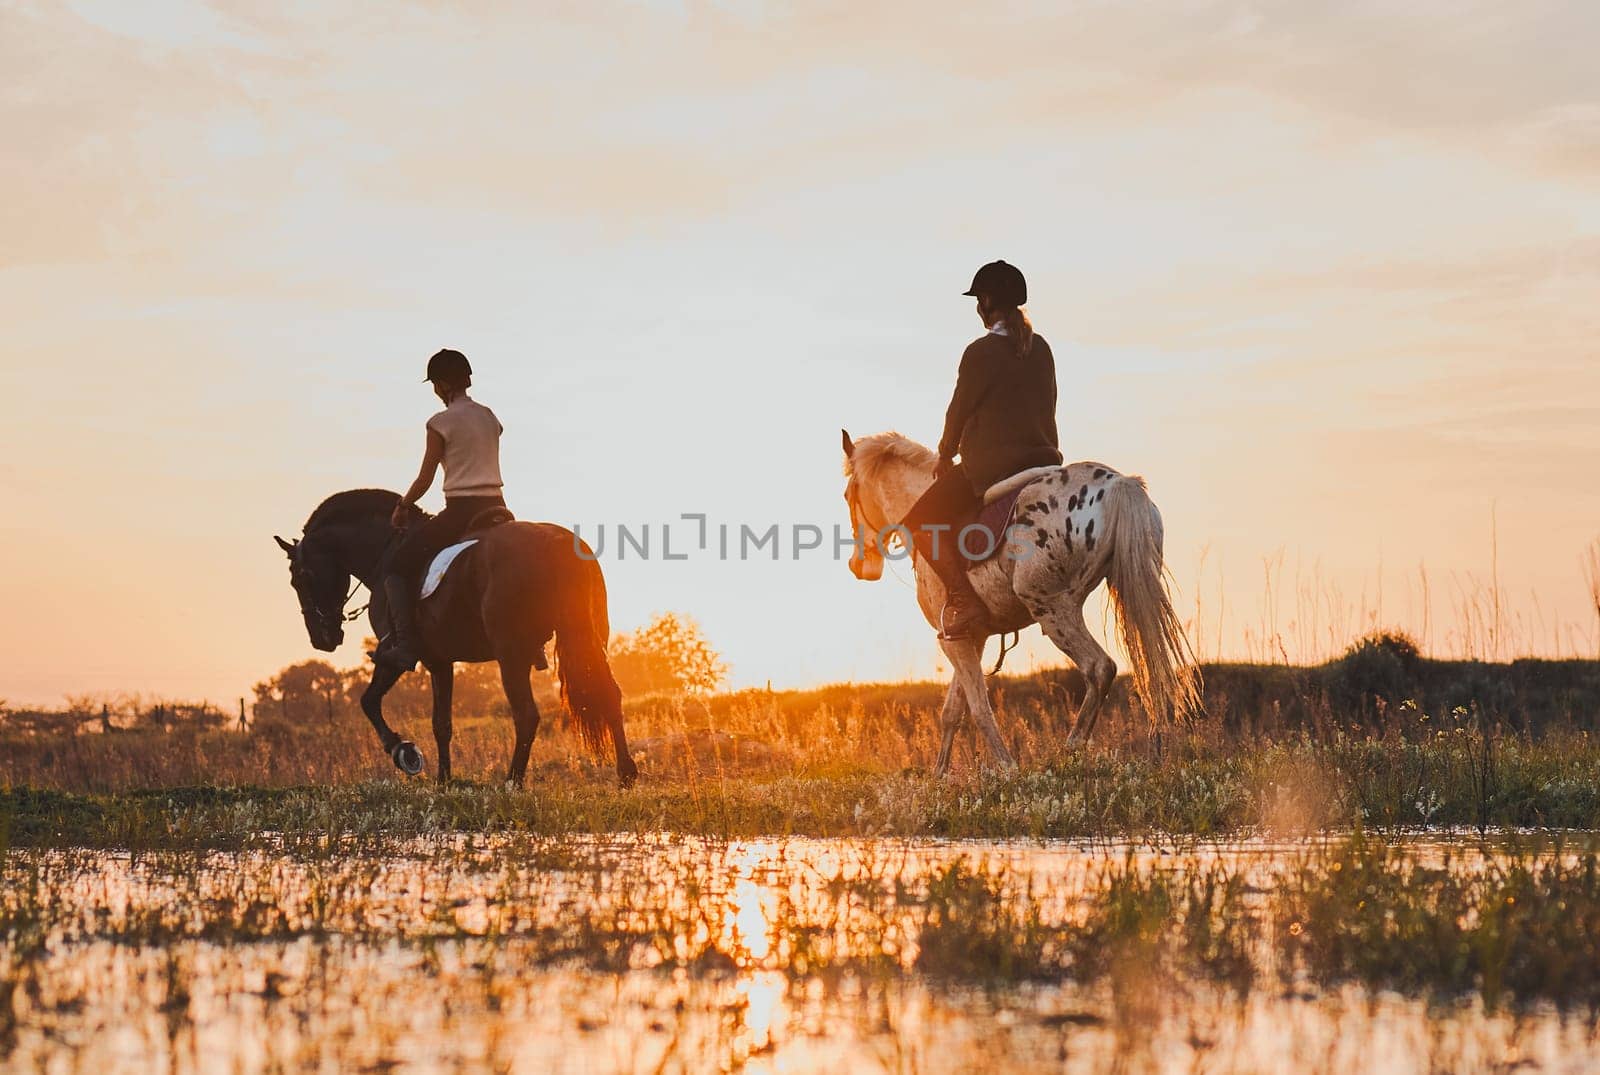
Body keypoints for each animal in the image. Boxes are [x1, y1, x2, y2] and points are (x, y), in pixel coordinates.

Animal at [275, 492, 636, 783]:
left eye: (299, 578)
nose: (322, 638)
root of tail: (555, 542)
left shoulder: (398, 655)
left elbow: (369, 701)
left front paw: (404, 752)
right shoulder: (441, 661)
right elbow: (441, 723)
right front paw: (444, 779)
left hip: (511, 655)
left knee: (526, 714)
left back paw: (513, 781)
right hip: (590, 641)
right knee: (610, 695)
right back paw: (626, 773)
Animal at [838, 428, 1203, 774]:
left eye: (847, 495)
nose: (859, 566)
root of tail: (1120, 483)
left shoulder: (952, 639)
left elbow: (979, 709)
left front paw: (1008, 769)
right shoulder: (972, 636)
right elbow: (952, 711)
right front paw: (939, 777)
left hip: (1052, 607)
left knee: (1099, 668)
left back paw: (1070, 752)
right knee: (1153, 670)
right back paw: (1153, 756)